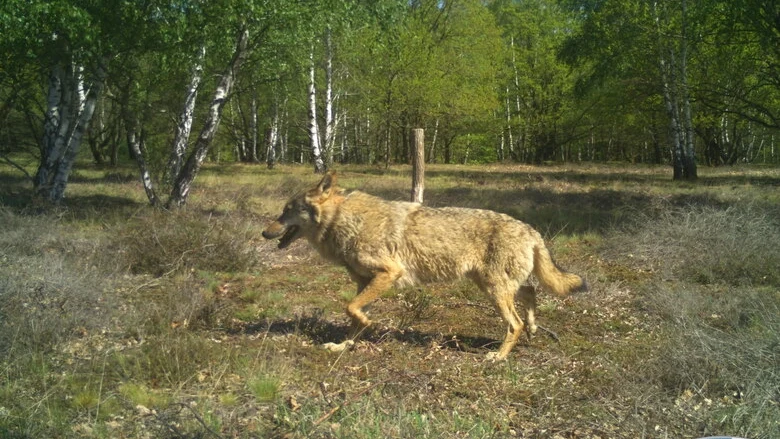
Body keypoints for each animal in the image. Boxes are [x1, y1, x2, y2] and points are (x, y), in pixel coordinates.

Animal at [262, 172, 587, 360]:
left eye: (287, 211)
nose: (264, 233)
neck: (344, 221)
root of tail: (531, 229)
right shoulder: (364, 282)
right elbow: (352, 317)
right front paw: (344, 347)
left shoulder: (388, 274)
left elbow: (351, 309)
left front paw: (365, 326)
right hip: (492, 285)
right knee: (531, 292)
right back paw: (532, 329)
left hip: (494, 290)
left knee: (514, 323)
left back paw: (498, 356)